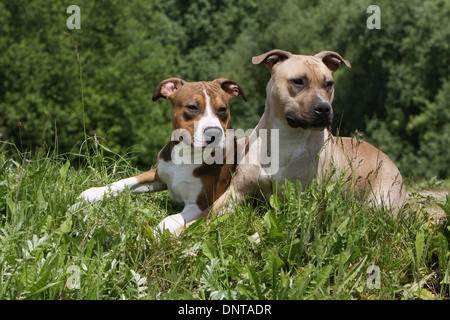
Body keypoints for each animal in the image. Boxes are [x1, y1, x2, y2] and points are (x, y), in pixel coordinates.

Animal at [184, 48, 408, 232]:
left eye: (329, 84)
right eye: (298, 81)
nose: (323, 108)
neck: (287, 136)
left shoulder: (305, 203)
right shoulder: (235, 192)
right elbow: (203, 217)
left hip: (381, 202)